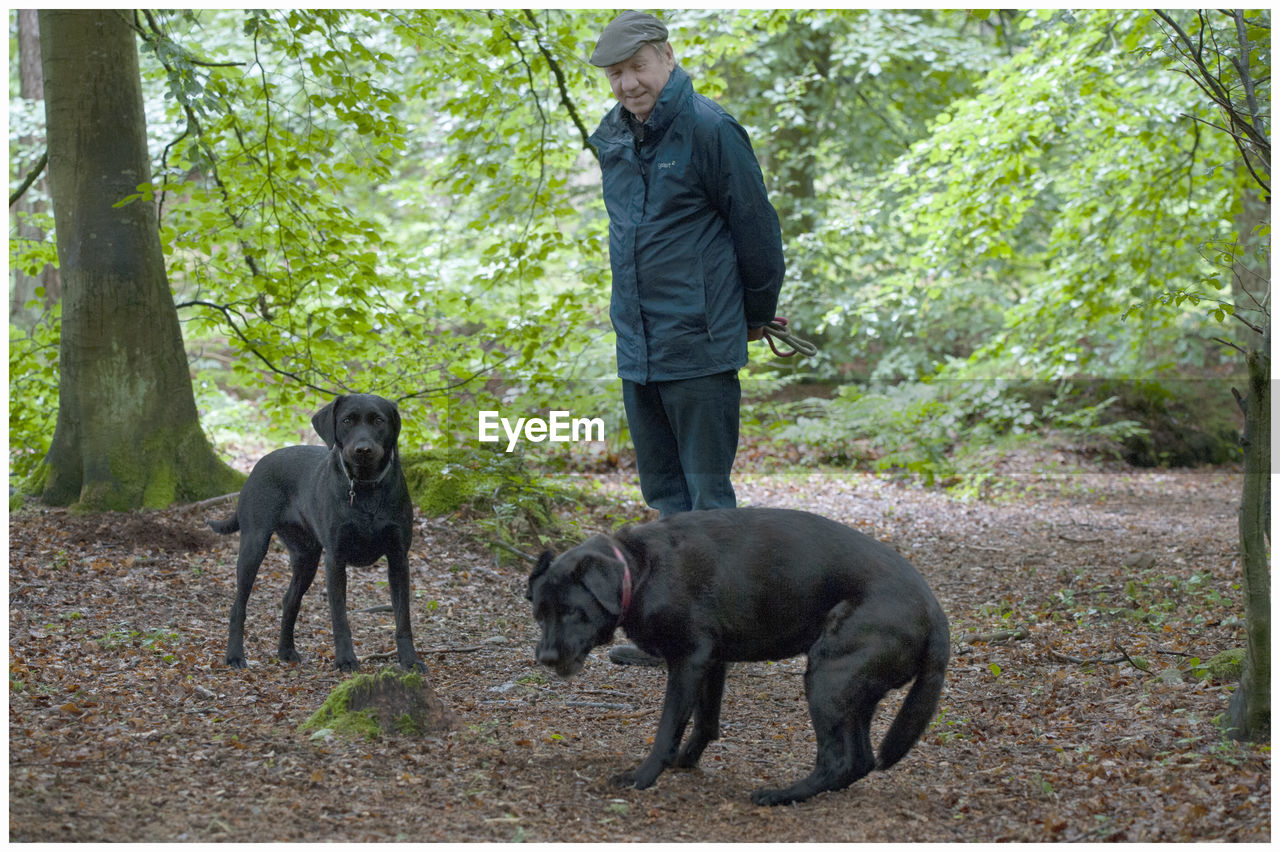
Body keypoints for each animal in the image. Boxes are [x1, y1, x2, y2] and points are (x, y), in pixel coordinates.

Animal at [208, 391, 419, 670]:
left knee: (290, 600)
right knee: (238, 605)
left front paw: (410, 661)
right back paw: (234, 655)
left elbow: (403, 618)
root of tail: (259, 464)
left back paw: (286, 650)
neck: (365, 488)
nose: (362, 449)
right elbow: (340, 618)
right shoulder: (335, 560)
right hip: (254, 545)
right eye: (347, 420)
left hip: (306, 557)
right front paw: (345, 660)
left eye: (378, 420)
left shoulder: (398, 559)